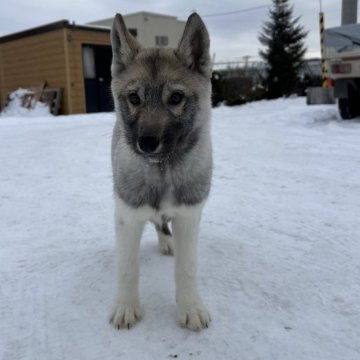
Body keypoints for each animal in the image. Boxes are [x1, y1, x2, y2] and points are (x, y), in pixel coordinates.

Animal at [108, 11, 212, 332]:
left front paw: (191, 308)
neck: (161, 169)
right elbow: (127, 268)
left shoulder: (189, 216)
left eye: (175, 98)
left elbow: (186, 269)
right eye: (134, 98)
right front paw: (126, 307)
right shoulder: (127, 217)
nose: (146, 142)